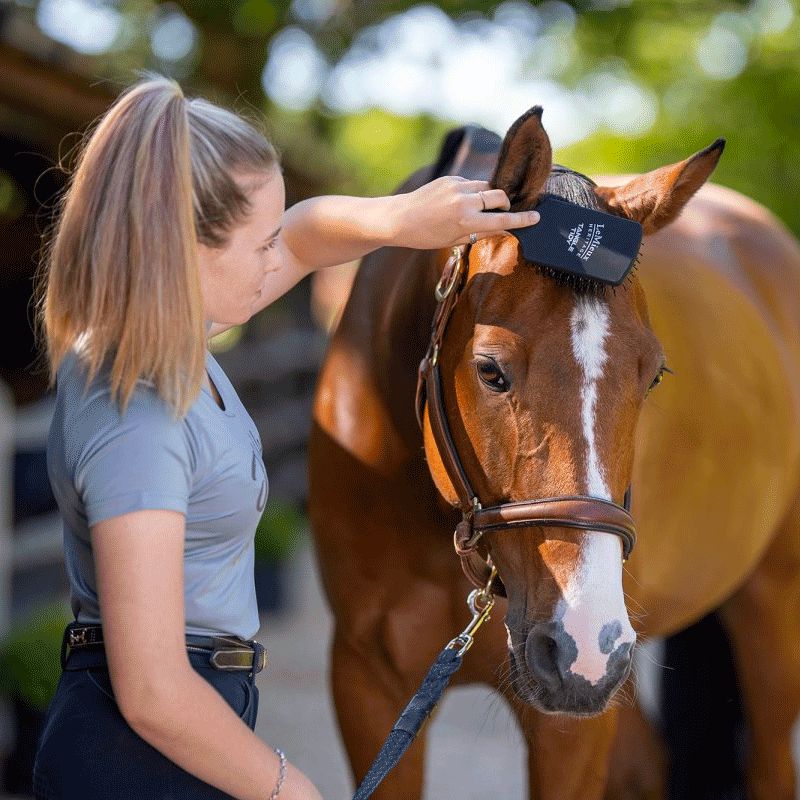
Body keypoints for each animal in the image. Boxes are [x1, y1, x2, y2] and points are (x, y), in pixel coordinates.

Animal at [306, 108, 800, 800]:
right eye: (489, 370)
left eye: (653, 375)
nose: (583, 645)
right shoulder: (369, 683)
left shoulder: (569, 722)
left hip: (769, 612)